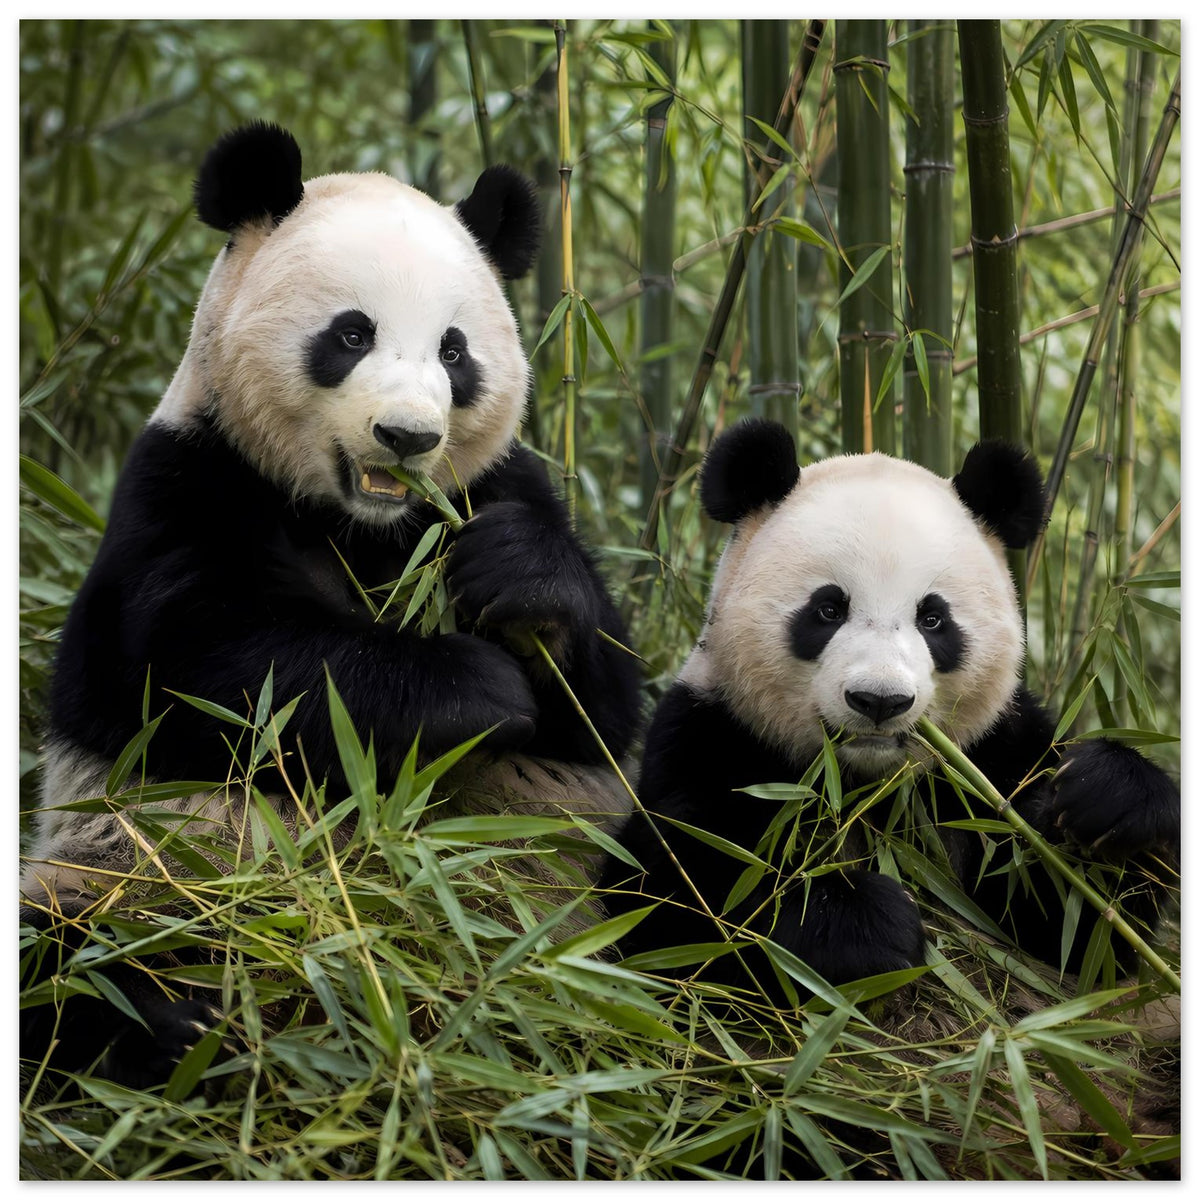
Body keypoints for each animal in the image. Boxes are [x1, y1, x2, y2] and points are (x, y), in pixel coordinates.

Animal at [21, 123, 640, 1089]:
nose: (408, 437)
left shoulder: (498, 487)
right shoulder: (186, 487)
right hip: (135, 870)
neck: (362, 524)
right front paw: (477, 688)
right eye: (351, 334)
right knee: (69, 954)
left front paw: (519, 582)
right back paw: (179, 1027)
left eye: (454, 352)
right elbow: (221, 670)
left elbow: (601, 710)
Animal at [601, 418, 1179, 999]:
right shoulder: (711, 734)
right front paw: (866, 924)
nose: (880, 701)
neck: (866, 785)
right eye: (828, 609)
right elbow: (682, 897)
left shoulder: (990, 755)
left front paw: (1107, 799)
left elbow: (1076, 928)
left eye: (933, 619)